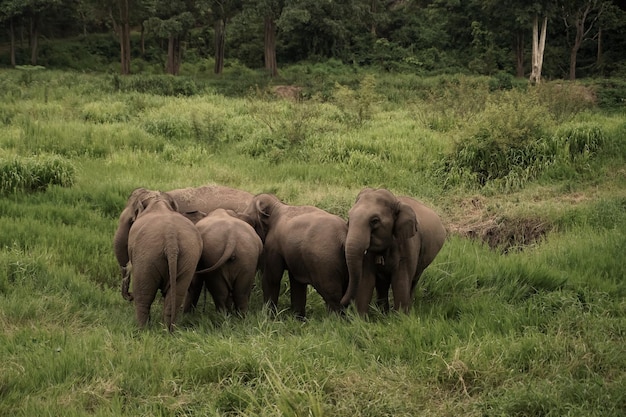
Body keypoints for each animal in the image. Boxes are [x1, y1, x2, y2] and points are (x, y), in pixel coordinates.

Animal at [125, 192, 204, 332]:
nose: (128, 295)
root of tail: (170, 237)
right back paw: (167, 330)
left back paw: (142, 330)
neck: (158, 202)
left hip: (147, 256)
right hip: (189, 257)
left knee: (143, 296)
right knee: (175, 296)